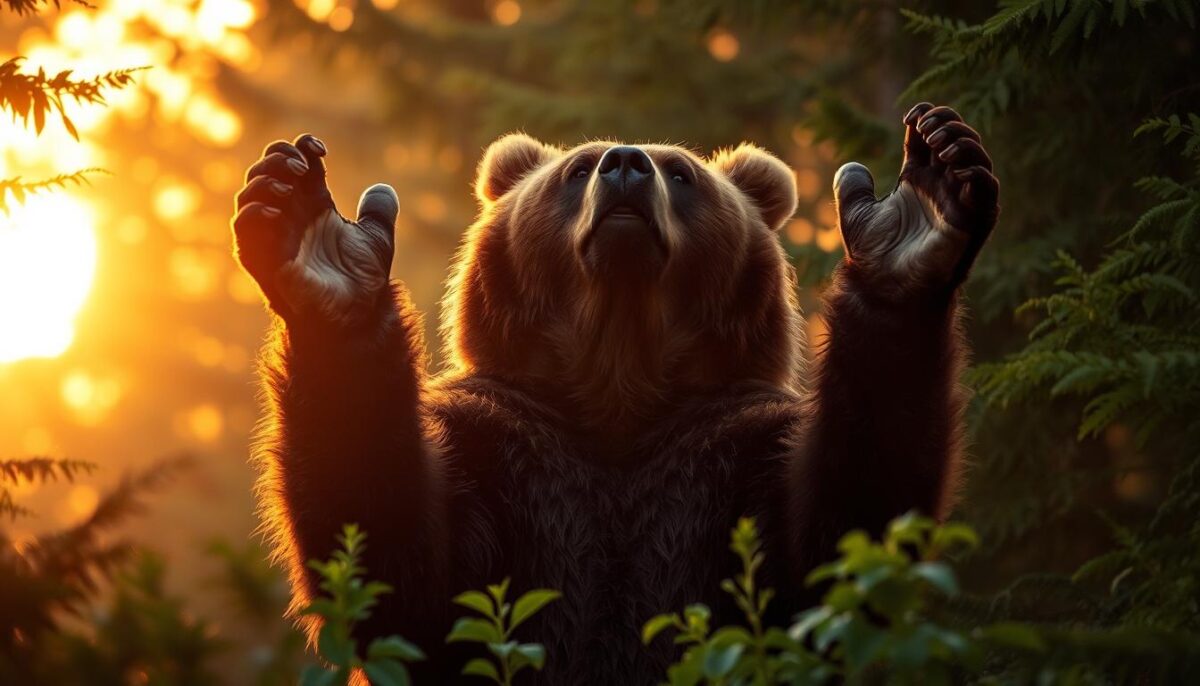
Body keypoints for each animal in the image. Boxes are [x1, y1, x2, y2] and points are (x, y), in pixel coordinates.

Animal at [231, 101, 998, 684]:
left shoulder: (729, 448)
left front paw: (928, 197)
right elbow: (399, 568)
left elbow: (839, 544)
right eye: (576, 169)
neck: (618, 385)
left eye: (682, 173)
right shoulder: (505, 447)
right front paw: (305, 228)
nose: (626, 162)